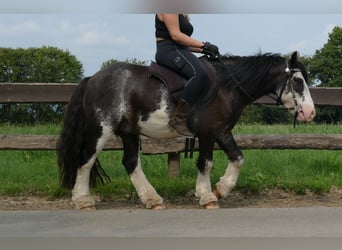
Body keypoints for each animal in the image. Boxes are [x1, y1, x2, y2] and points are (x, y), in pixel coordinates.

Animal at [56, 51, 316, 209]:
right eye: (298, 82)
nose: (310, 113)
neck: (226, 87)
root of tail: (92, 78)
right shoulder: (208, 133)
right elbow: (206, 163)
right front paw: (207, 196)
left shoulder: (222, 132)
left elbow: (238, 159)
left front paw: (221, 190)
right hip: (101, 129)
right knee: (86, 160)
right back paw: (83, 200)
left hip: (129, 132)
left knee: (130, 163)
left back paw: (152, 199)